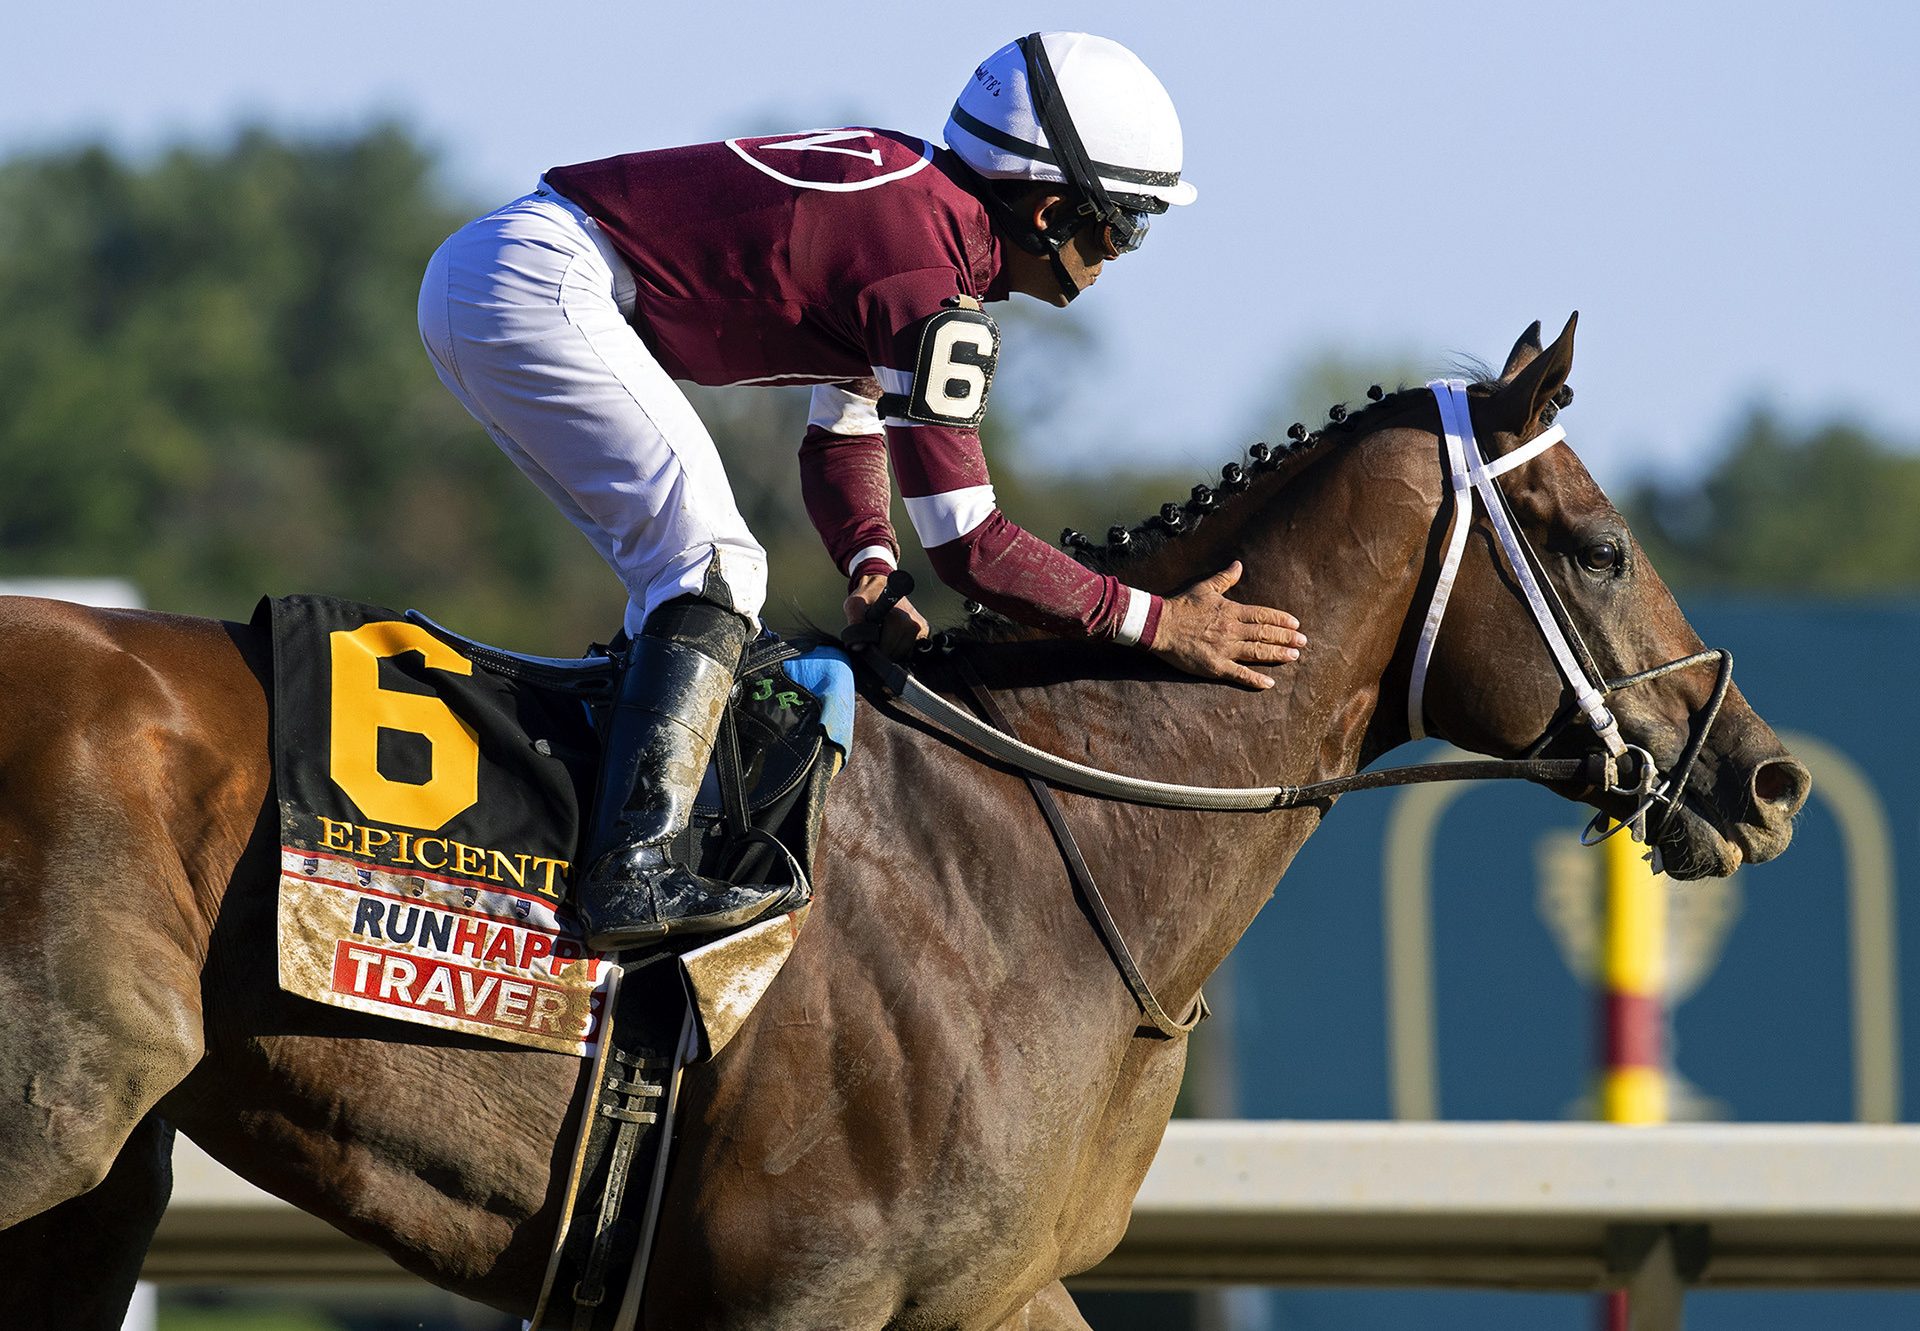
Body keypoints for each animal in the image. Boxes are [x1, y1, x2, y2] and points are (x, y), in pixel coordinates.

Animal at [0, 316, 1804, 1321]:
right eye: (1599, 548)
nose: (1765, 774)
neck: (1037, 851)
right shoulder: (797, 1283)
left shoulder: (987, 1285)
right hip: (57, 1116)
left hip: (103, 1186)